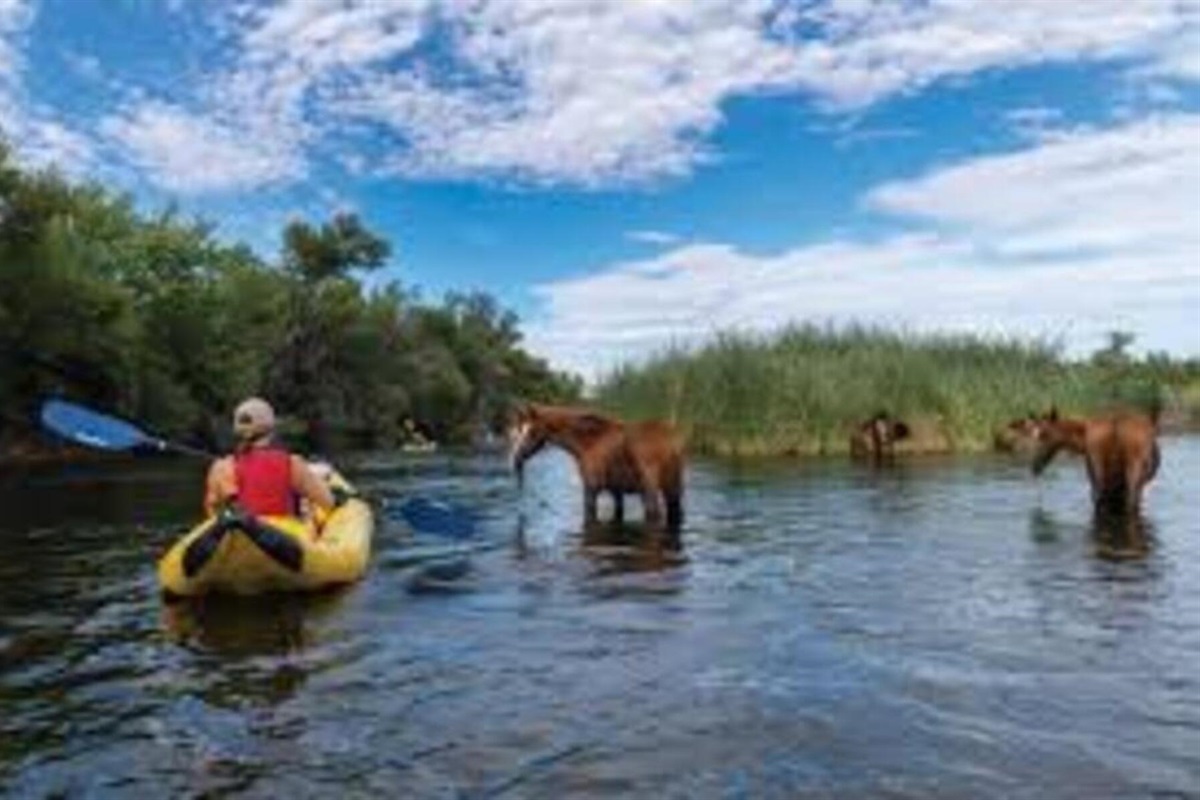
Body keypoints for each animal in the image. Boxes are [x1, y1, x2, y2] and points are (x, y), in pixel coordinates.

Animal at [508, 403, 685, 532]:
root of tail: (671, 442)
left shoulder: (591, 488)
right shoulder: (616, 491)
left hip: (650, 490)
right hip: (672, 489)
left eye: (532, 432)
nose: (516, 461)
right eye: (517, 431)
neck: (590, 442)